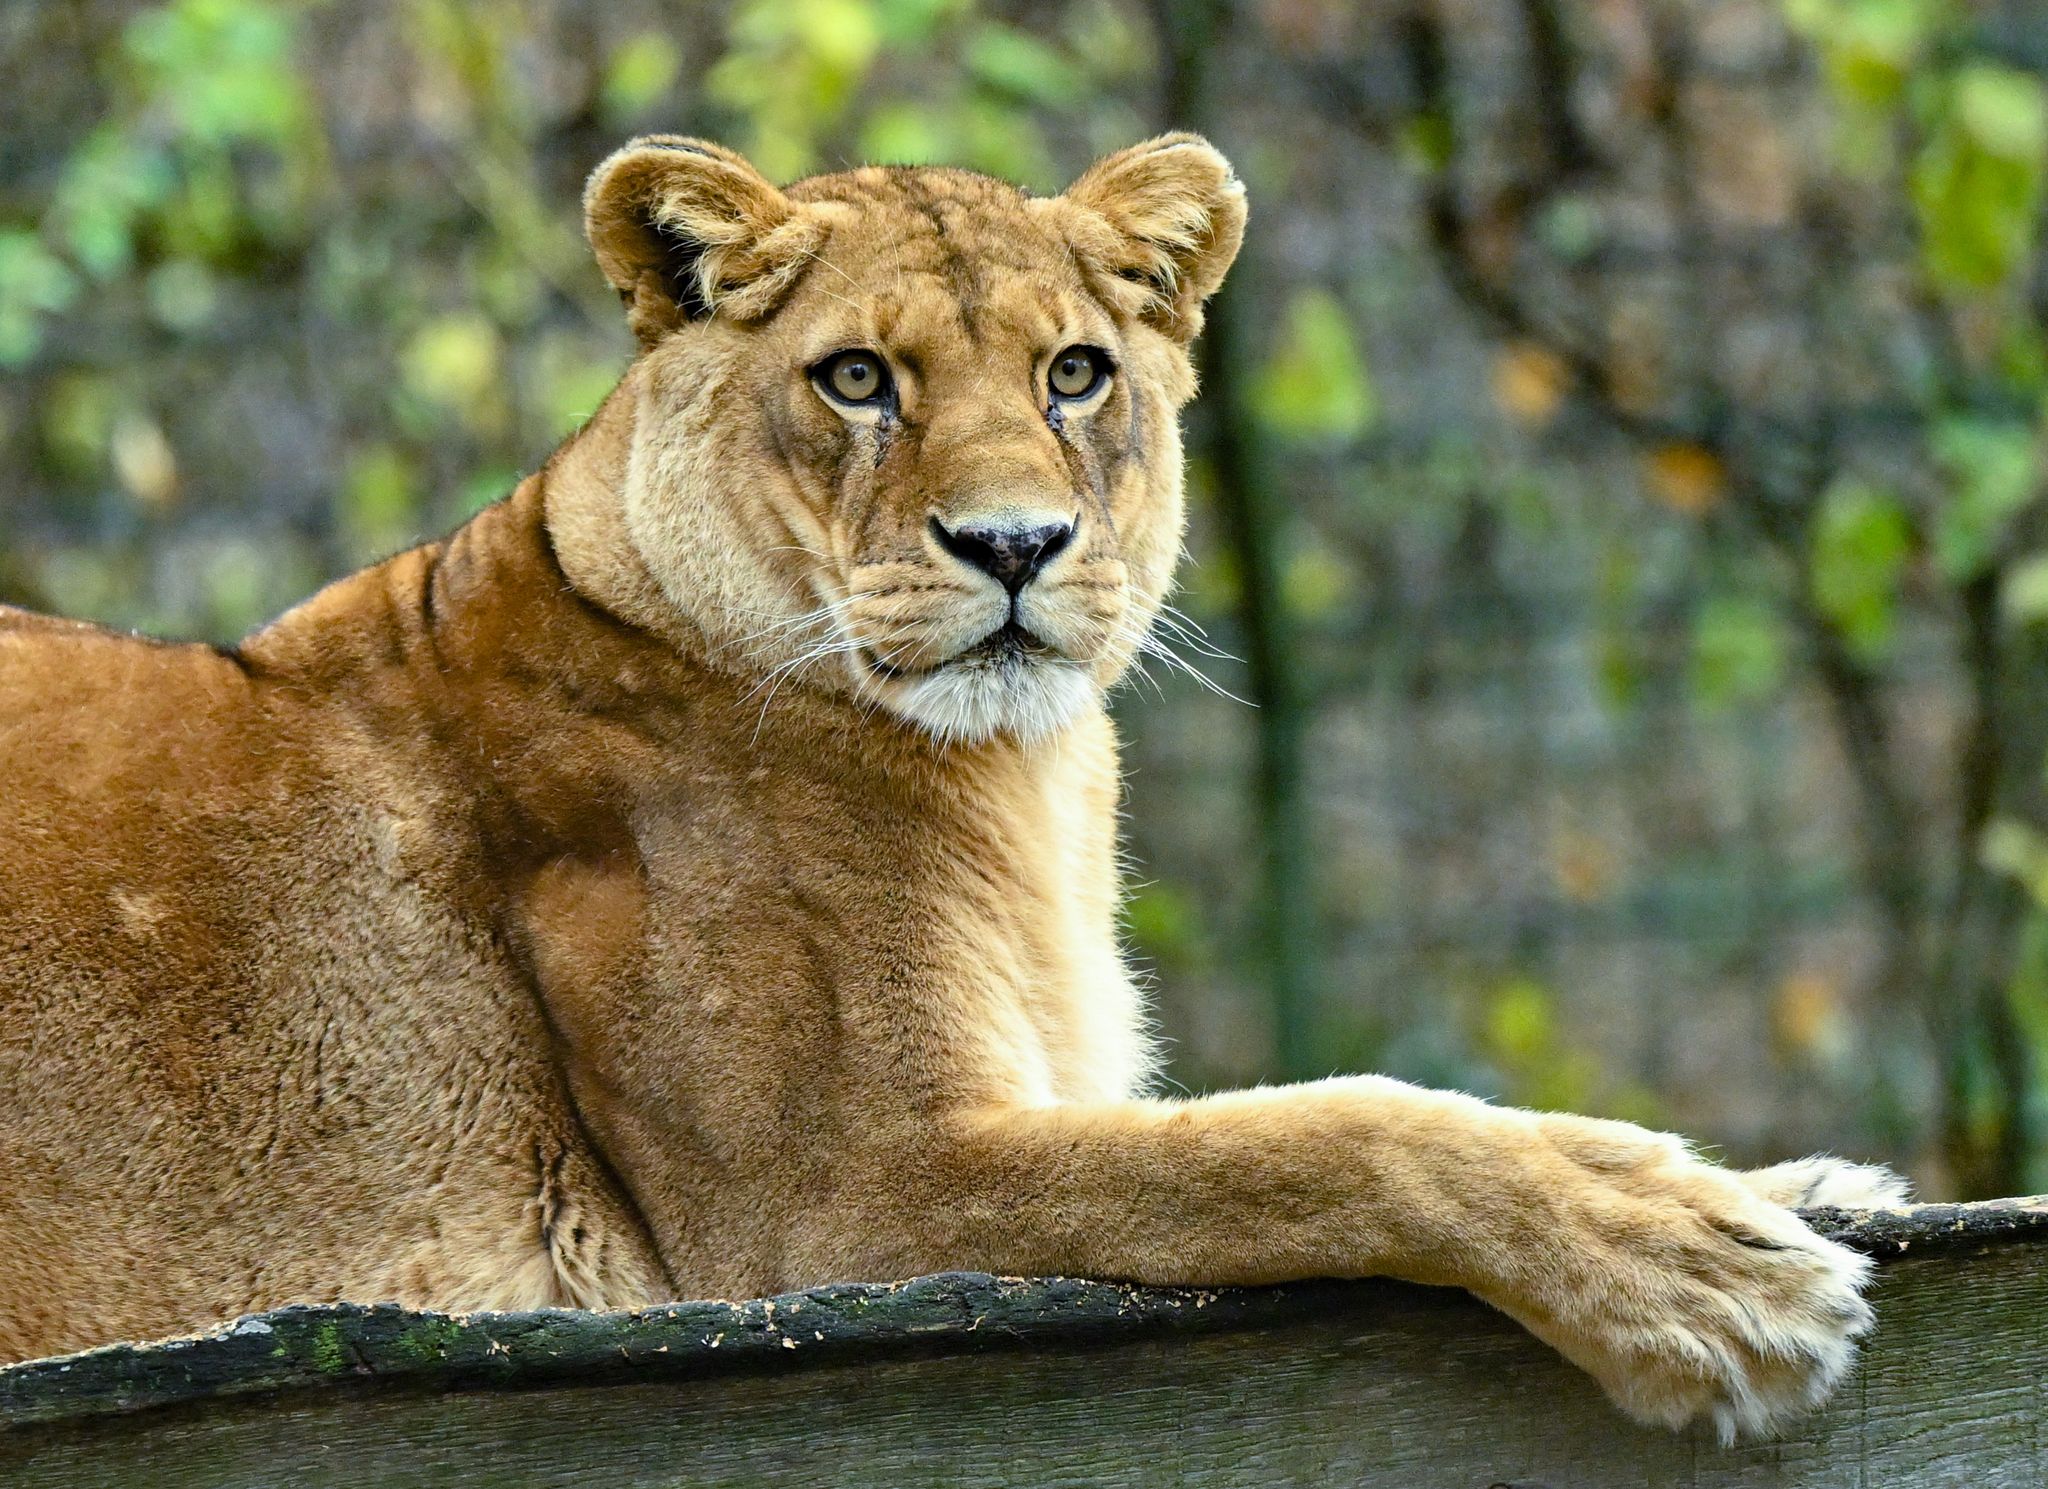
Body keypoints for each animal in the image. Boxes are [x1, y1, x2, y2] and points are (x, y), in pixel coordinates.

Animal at [0, 133, 1905, 1438]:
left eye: (1076, 373)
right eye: (858, 377)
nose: (1012, 544)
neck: (1025, 778)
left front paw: (1802, 1184)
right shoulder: (840, 1199)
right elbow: (1307, 1136)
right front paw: (1692, 1266)